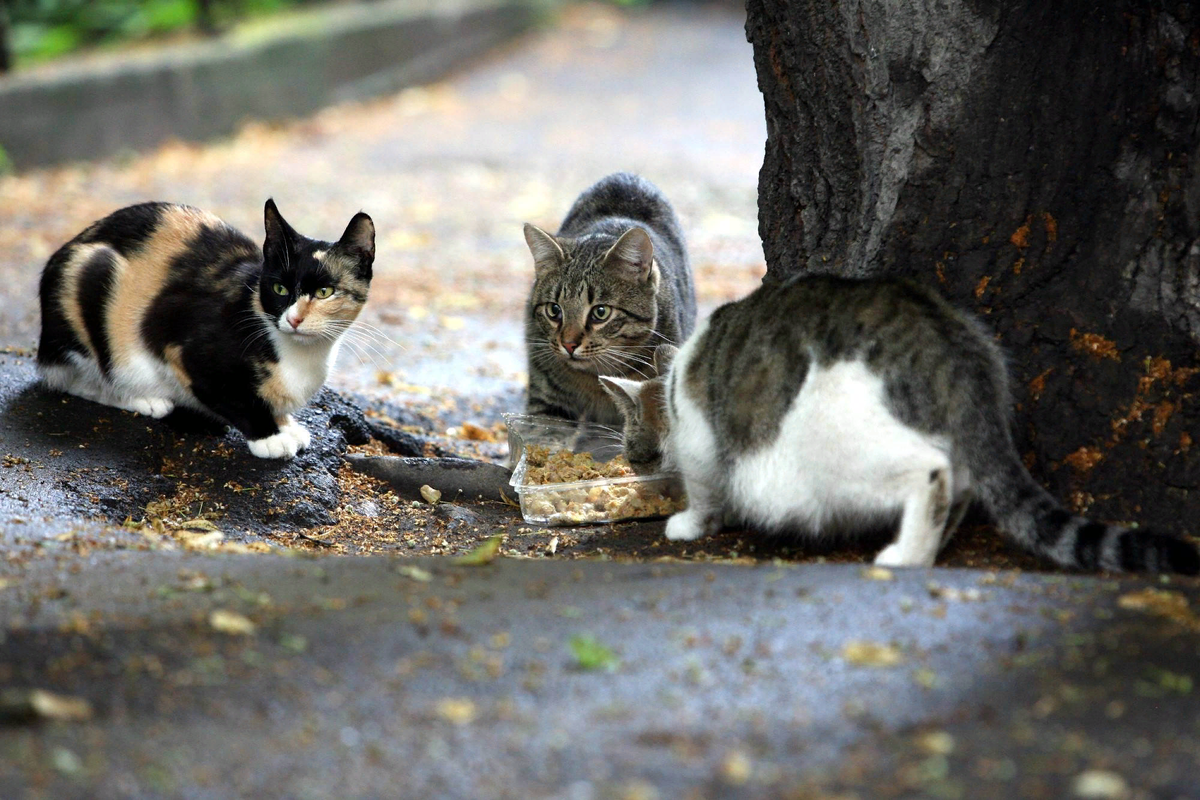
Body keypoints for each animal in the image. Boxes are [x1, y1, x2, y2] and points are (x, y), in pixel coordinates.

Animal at [38, 197, 374, 460]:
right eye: (279, 288)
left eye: (324, 292)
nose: (293, 319)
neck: (302, 357)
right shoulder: (180, 346)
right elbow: (233, 397)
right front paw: (270, 436)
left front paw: (286, 424)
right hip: (90, 275)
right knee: (75, 378)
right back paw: (143, 399)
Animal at [604, 275, 1200, 575]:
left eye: (635, 447)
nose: (633, 459)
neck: (676, 374)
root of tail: (953, 349)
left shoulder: (700, 443)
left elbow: (704, 492)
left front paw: (688, 522)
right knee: (962, 485)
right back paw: (931, 547)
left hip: (827, 456)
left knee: (932, 475)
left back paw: (906, 557)